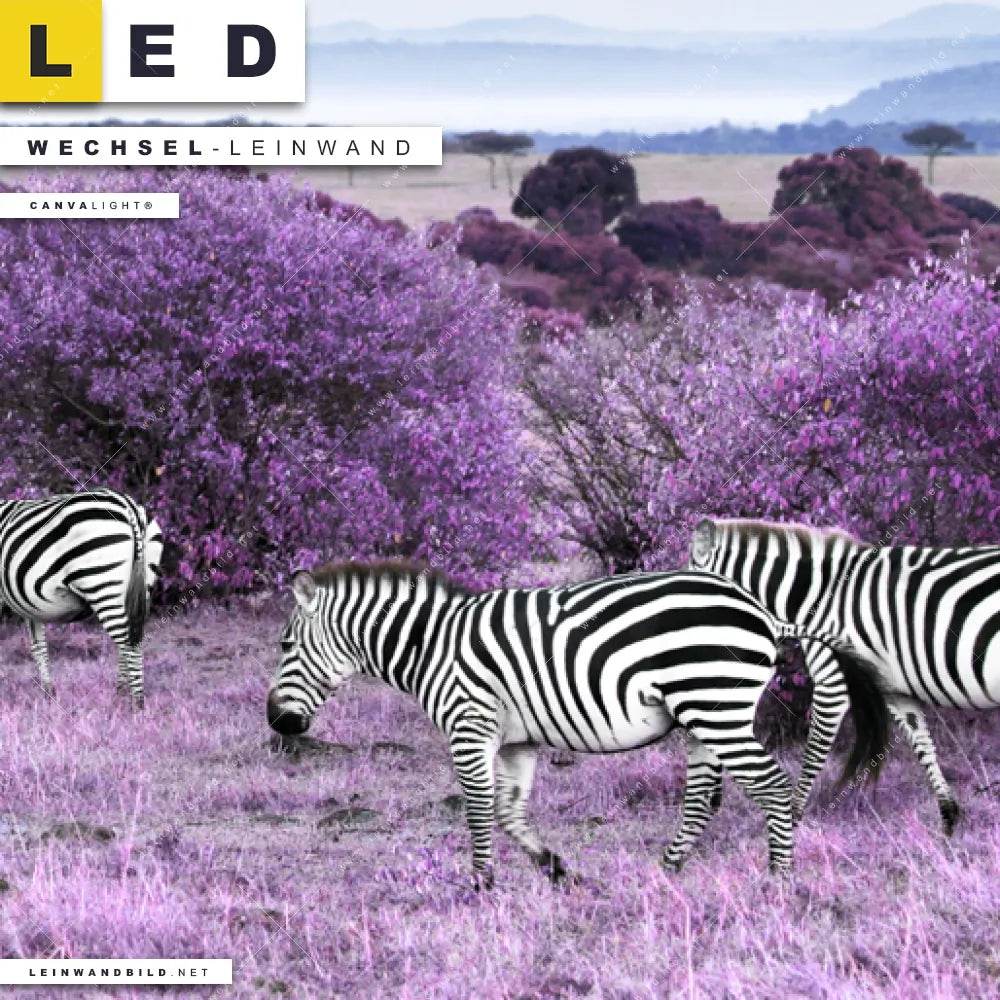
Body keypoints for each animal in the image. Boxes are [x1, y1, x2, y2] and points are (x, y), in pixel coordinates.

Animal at [0, 488, 163, 706]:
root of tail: (128, 505)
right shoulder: (29, 605)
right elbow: (38, 647)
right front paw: (48, 693)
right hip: (140, 586)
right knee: (130, 639)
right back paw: (120, 694)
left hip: (102, 584)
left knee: (129, 643)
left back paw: (136, 704)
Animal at [267, 562, 888, 886]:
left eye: (286, 645)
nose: (276, 722)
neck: (431, 645)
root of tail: (763, 612)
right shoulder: (515, 742)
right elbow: (510, 812)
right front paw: (554, 868)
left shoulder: (470, 728)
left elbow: (478, 810)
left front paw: (481, 885)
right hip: (707, 715)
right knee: (703, 798)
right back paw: (669, 868)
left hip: (716, 707)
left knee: (774, 787)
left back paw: (778, 878)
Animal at [688, 516, 1000, 834]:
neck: (816, 598)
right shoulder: (893, 690)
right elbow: (922, 744)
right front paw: (949, 817)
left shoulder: (833, 681)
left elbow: (813, 752)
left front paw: (793, 819)